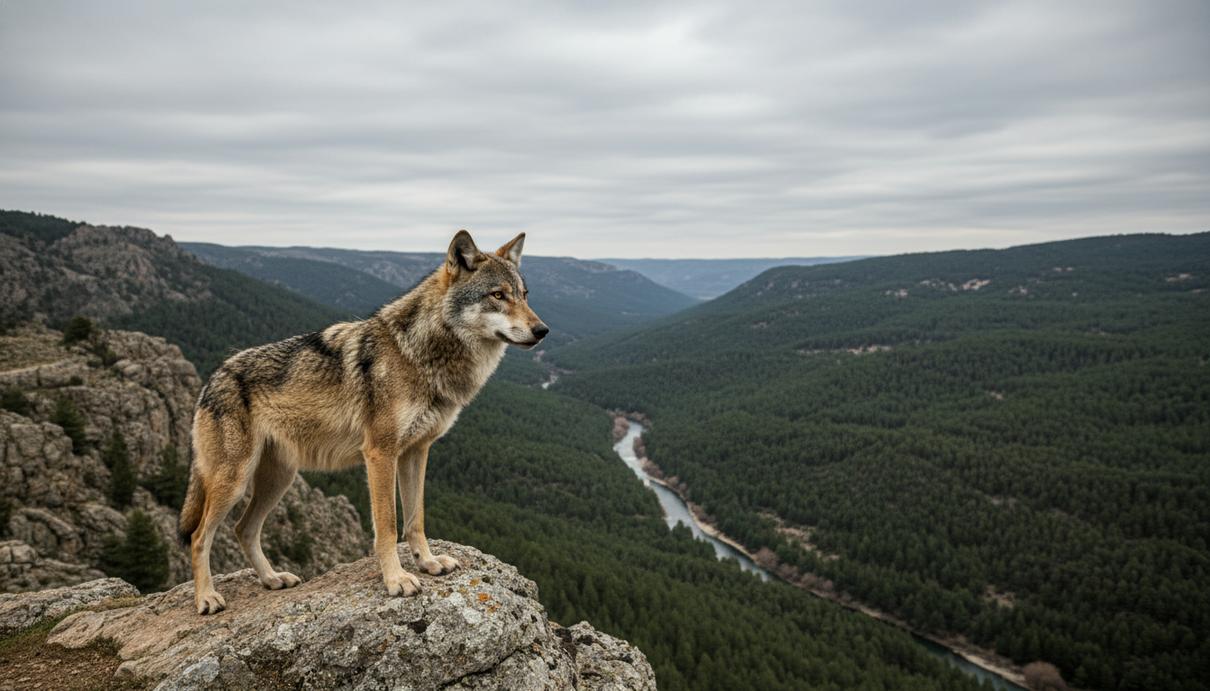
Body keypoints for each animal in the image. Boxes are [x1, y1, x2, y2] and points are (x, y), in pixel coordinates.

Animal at [178, 231, 547, 615]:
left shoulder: (416, 452)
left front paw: (428, 563)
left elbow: (416, 520)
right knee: (199, 536)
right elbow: (388, 525)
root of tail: (212, 379)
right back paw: (206, 598)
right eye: (497, 295)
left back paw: (272, 579)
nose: (542, 330)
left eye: (524, 294)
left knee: (243, 529)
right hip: (234, 481)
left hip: (279, 480)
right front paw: (396, 579)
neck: (417, 354)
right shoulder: (380, 454)